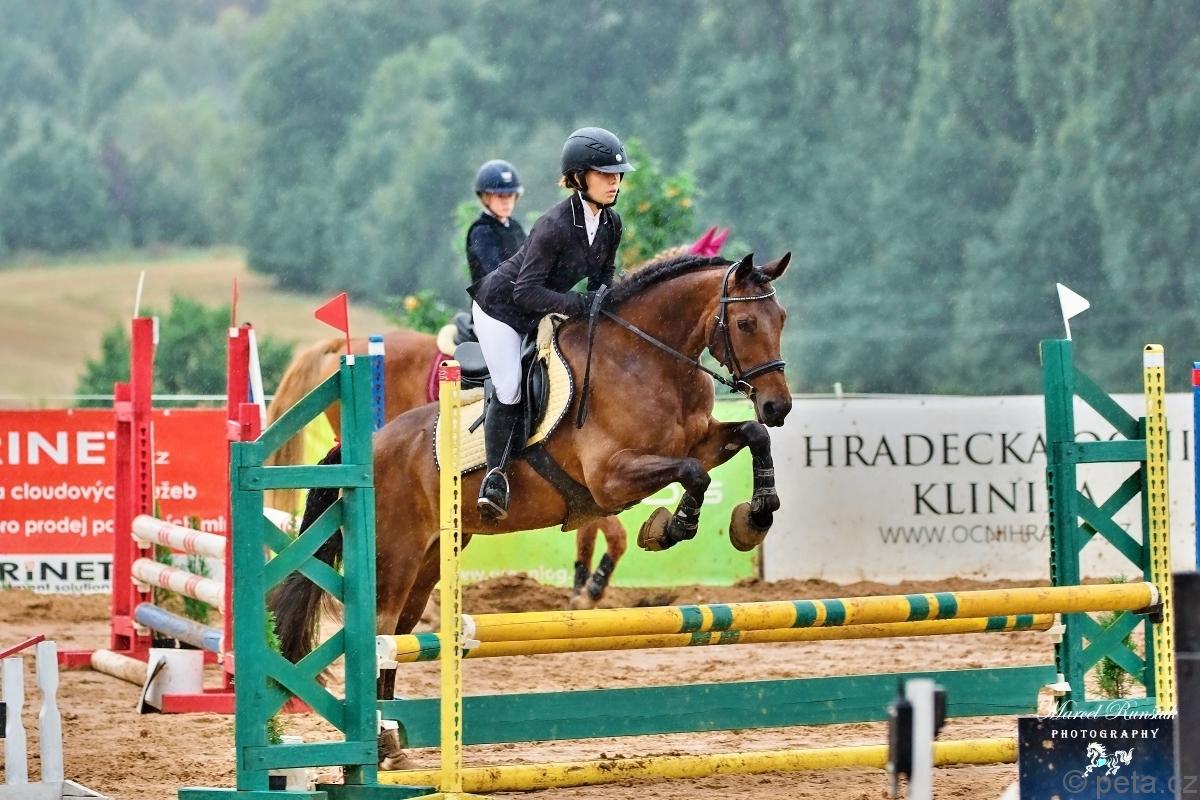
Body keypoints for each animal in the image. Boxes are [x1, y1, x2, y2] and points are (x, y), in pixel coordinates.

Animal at [272, 251, 792, 674]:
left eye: (782, 318)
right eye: (746, 323)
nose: (778, 406)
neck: (649, 361)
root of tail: (367, 448)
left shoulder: (698, 440)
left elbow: (752, 437)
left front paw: (755, 516)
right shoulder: (611, 478)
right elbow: (692, 474)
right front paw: (668, 527)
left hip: (432, 554)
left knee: (398, 635)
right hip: (396, 555)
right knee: (382, 632)